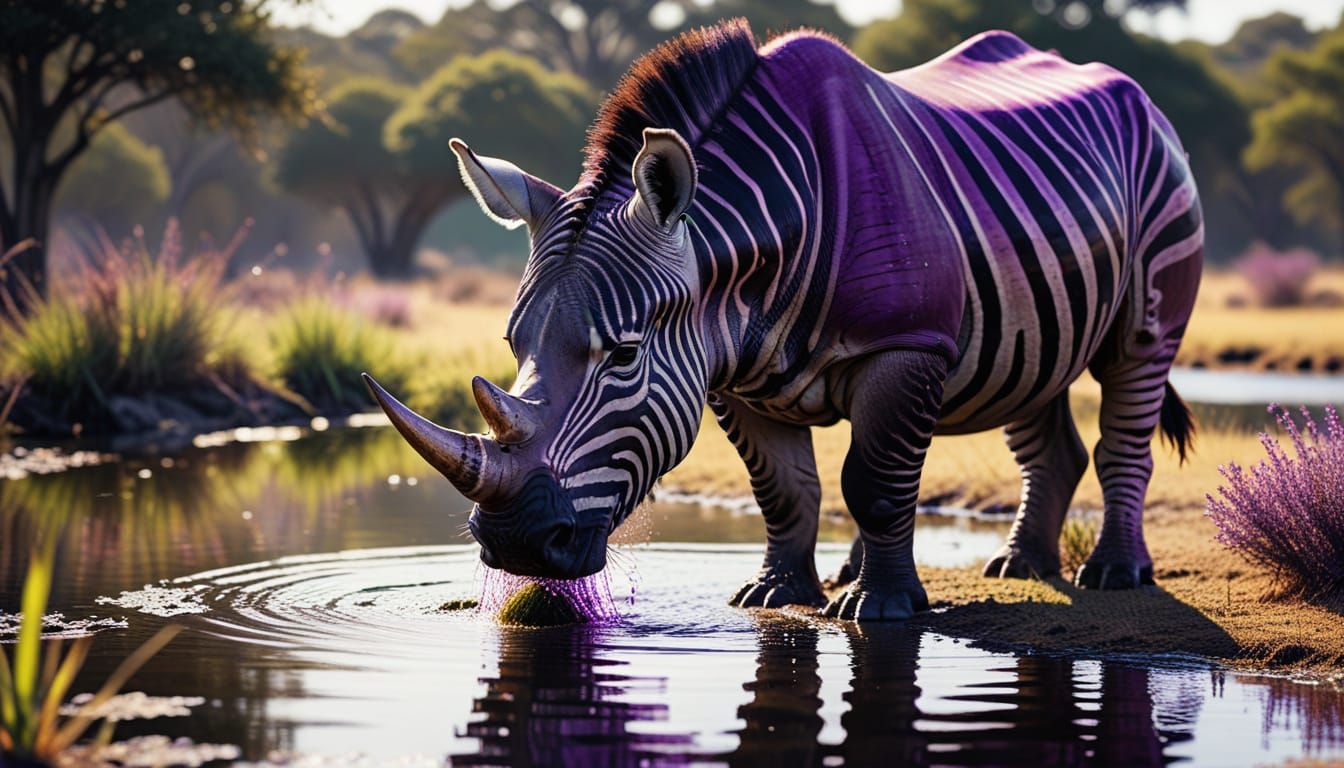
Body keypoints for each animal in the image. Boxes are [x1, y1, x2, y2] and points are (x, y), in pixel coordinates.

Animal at [364, 19, 1202, 620]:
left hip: (1161, 192)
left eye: (625, 355)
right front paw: (778, 593)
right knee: (1033, 380)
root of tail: (1142, 102)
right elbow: (785, 489)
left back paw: (1112, 575)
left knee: (1133, 366)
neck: (734, 257)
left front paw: (881, 608)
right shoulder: (727, 374)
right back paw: (1020, 568)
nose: (515, 545)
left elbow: (874, 478)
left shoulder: (904, 344)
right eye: (512, 346)